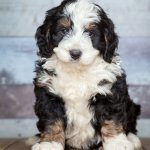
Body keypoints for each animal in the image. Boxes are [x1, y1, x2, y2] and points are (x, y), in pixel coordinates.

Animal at [31, 0, 142, 149]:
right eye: (64, 30)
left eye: (90, 33)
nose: (75, 53)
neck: (77, 72)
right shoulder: (48, 94)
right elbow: (51, 120)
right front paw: (49, 143)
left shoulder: (110, 92)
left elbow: (112, 119)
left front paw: (117, 143)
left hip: (132, 106)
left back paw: (132, 139)